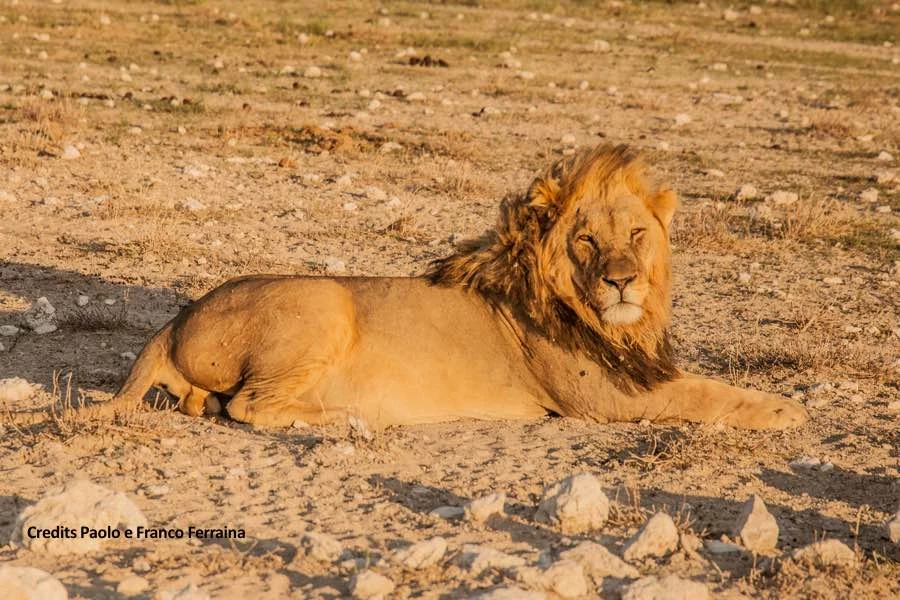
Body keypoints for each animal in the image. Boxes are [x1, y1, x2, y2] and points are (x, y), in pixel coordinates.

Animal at [11, 144, 807, 430]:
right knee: (249, 408)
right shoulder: (603, 398)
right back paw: (345, 421)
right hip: (323, 303)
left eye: (637, 235)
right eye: (585, 241)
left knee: (217, 405)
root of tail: (173, 320)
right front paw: (784, 411)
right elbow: (706, 395)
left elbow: (703, 383)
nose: (621, 280)